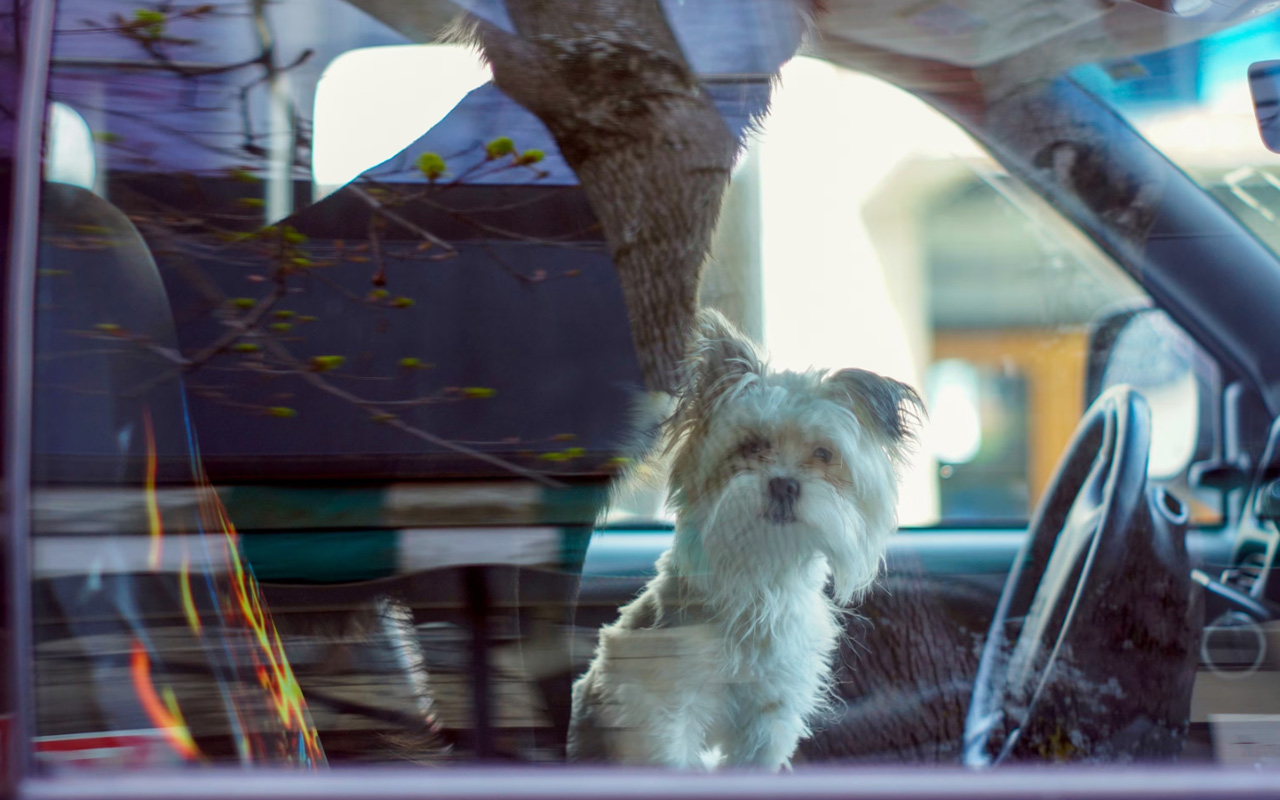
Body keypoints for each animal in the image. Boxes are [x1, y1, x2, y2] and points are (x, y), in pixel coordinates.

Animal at [570, 311, 921, 768]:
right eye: (752, 446)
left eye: (823, 454)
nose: (784, 485)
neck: (761, 575)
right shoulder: (666, 709)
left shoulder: (769, 718)